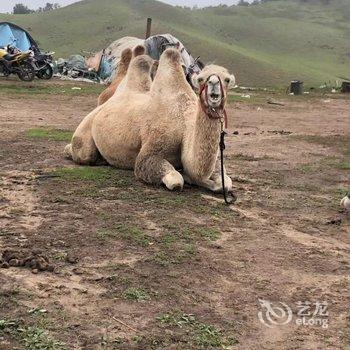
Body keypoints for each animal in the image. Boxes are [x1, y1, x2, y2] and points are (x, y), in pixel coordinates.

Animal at [65, 46, 235, 193]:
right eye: (201, 79)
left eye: (226, 80)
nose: (214, 86)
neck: (185, 123)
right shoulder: (151, 150)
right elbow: (174, 179)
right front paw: (184, 177)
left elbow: (224, 183)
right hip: (86, 128)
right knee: (84, 153)